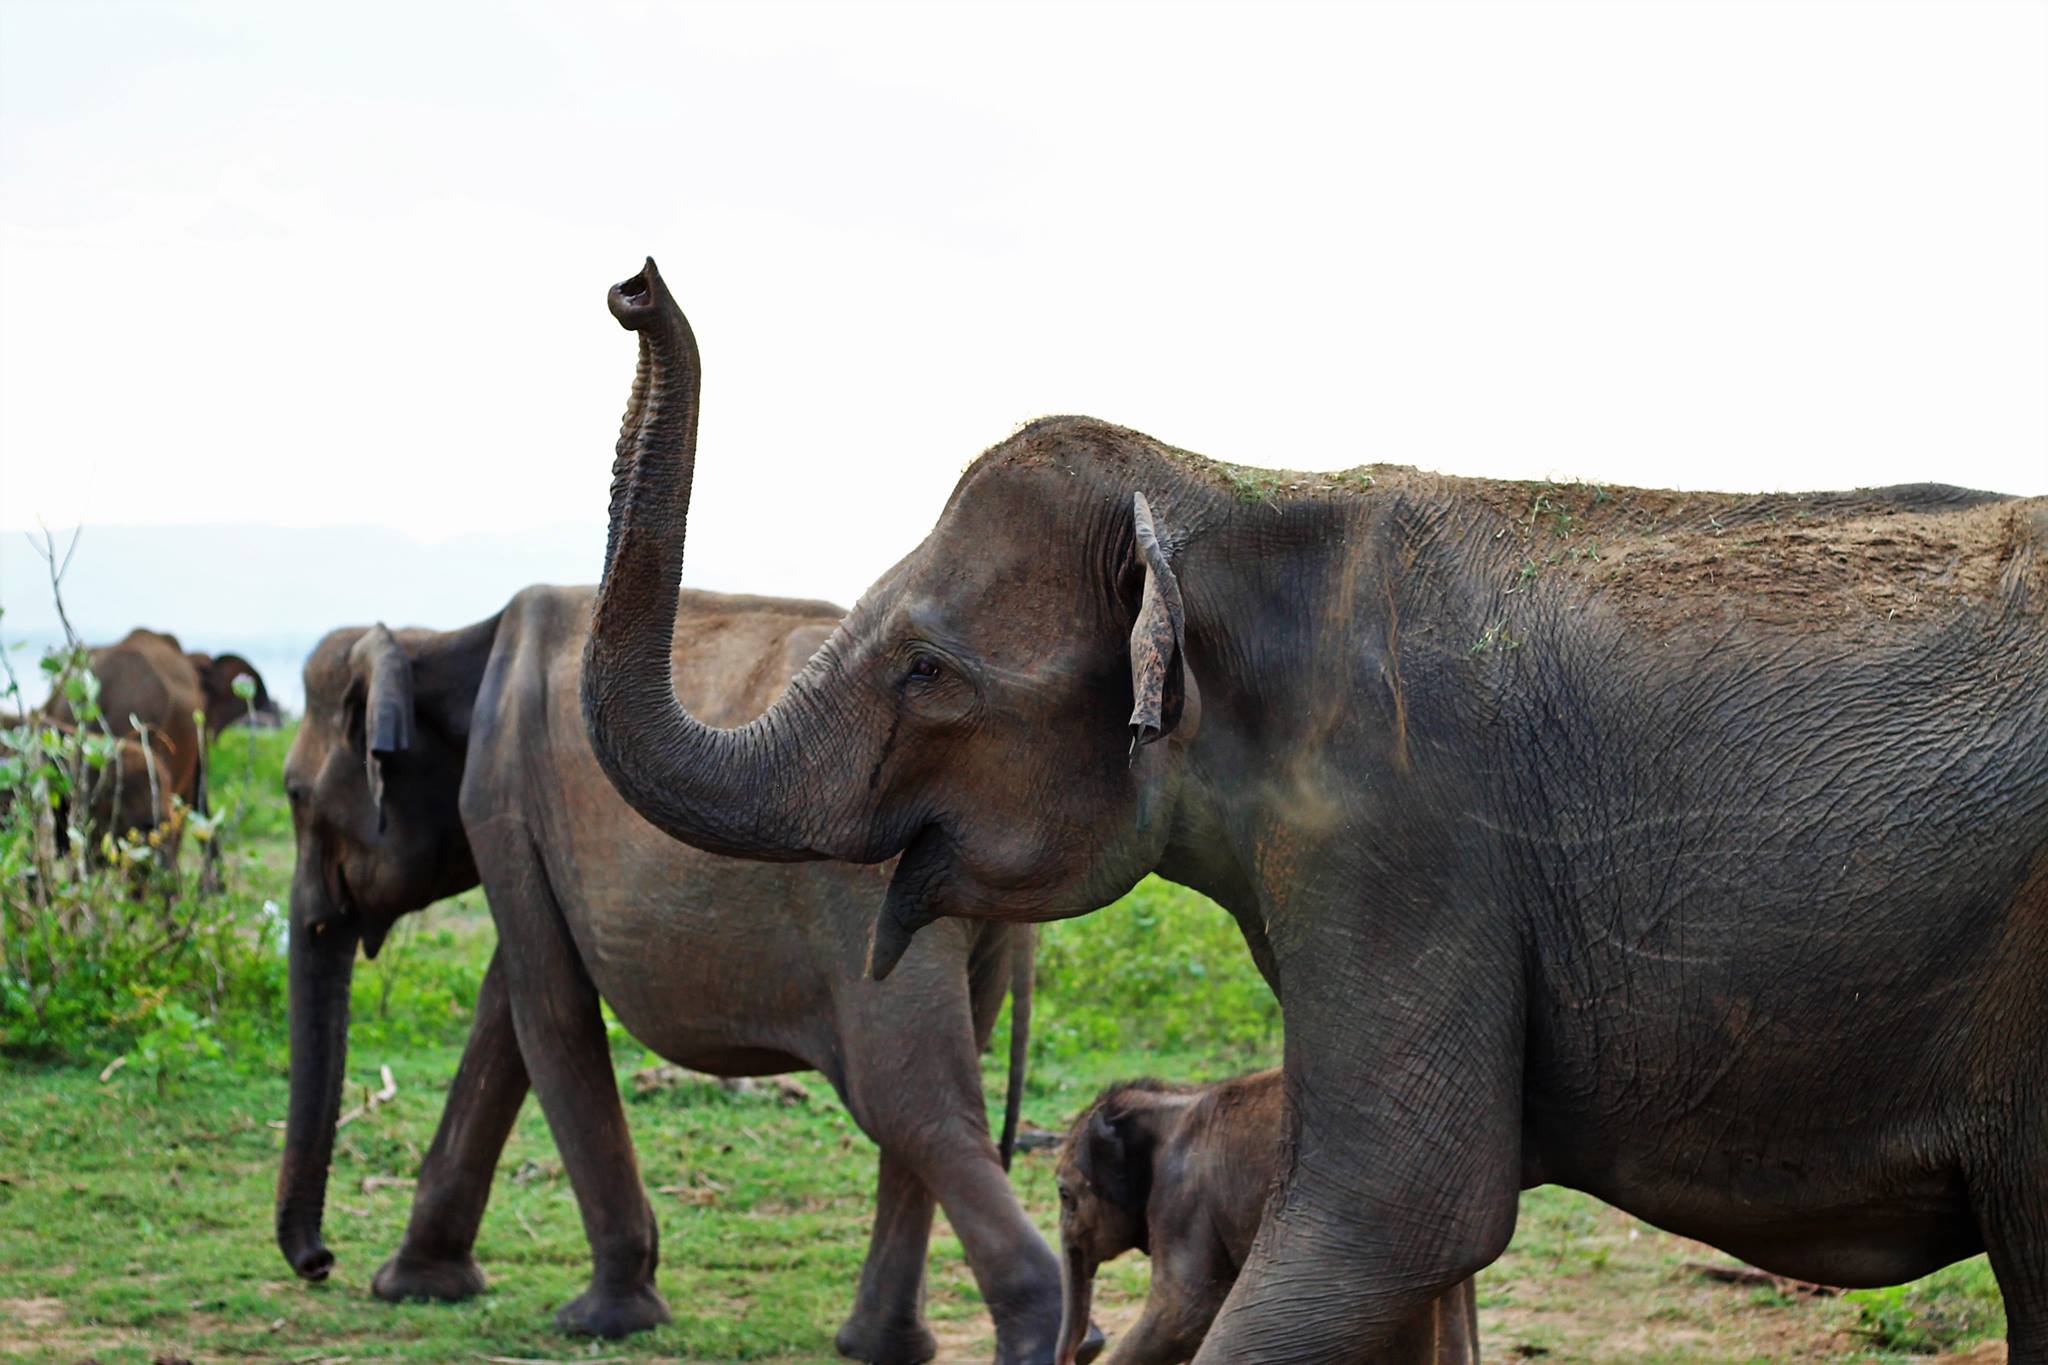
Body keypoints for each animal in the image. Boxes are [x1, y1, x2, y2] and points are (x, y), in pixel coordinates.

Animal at [276, 584, 1094, 1364]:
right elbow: (505, 1009)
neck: (440, 641)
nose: (320, 1262)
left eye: (293, 793)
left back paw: (1048, 1338)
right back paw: (883, 1347)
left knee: (910, 1100)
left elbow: (548, 1009)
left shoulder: (501, 803)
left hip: (864, 898)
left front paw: (600, 1322)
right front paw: (412, 1287)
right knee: (930, 1094)